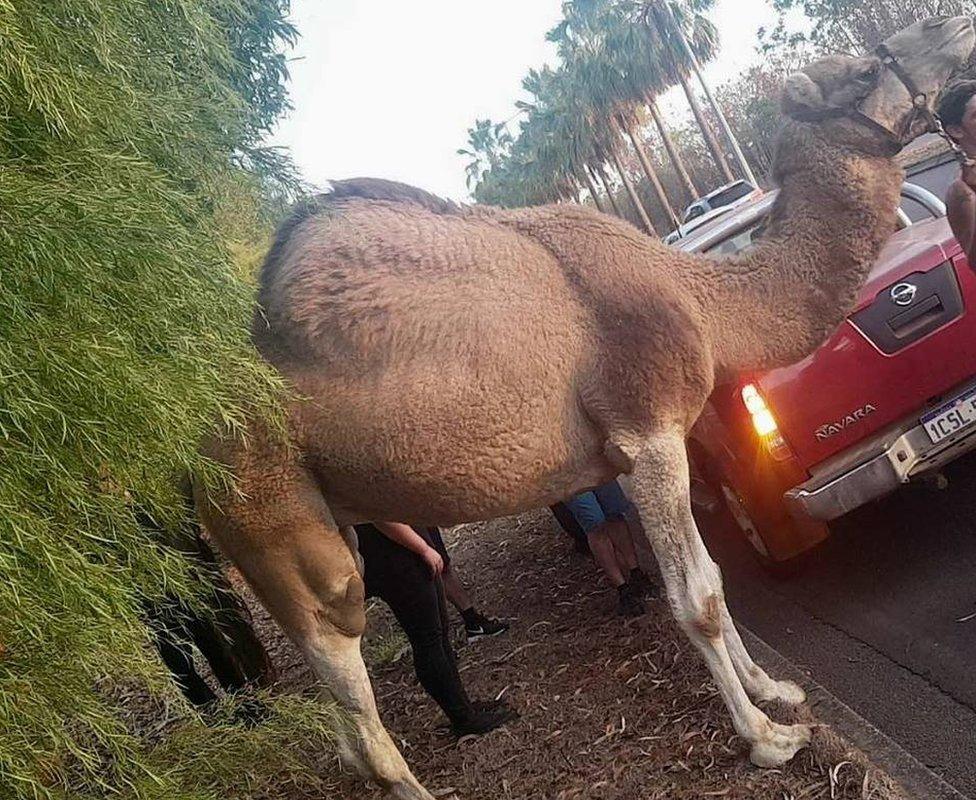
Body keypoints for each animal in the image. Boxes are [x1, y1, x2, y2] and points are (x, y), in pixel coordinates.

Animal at [198, 17, 976, 800]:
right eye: (860, 72)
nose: (951, 24)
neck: (703, 299)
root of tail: (190, 464)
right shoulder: (648, 436)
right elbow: (697, 596)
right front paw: (768, 738)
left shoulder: (653, 448)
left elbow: (714, 579)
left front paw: (776, 689)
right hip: (269, 514)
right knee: (348, 673)